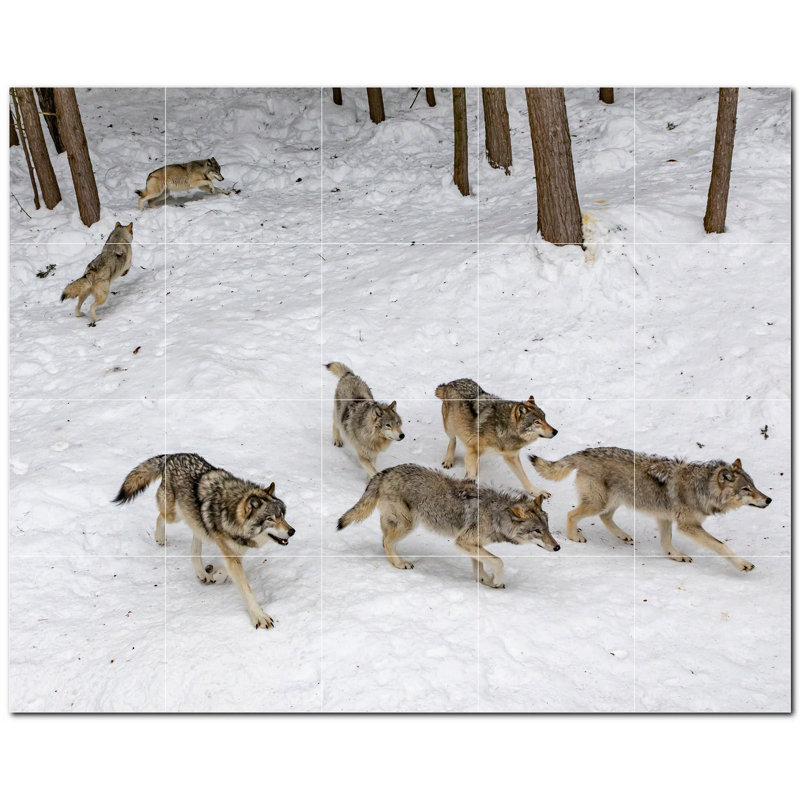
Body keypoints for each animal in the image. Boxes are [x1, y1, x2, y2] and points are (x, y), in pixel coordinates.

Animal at [113, 453, 295, 628]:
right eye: (270, 519)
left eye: (282, 516)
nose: (292, 531)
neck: (231, 514)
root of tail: (171, 456)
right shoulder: (231, 553)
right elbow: (247, 589)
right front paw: (259, 617)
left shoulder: (235, 551)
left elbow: (225, 569)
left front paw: (216, 575)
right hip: (174, 515)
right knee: (160, 517)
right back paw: (160, 538)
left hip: (196, 522)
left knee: (194, 546)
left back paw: (202, 573)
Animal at [337, 463, 559, 587]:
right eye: (537, 531)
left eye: (547, 529)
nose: (557, 547)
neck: (495, 515)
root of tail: (385, 472)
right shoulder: (463, 541)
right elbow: (498, 561)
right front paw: (496, 580)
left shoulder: (473, 545)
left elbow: (480, 566)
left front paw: (486, 581)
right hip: (408, 524)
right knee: (387, 542)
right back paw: (400, 564)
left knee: (383, 539)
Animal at [531, 447, 771, 572]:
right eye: (746, 489)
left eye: (754, 486)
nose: (769, 500)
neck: (702, 488)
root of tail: (585, 452)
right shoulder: (688, 526)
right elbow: (721, 546)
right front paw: (743, 564)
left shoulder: (665, 518)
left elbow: (666, 543)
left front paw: (675, 556)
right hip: (599, 502)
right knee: (572, 514)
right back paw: (575, 537)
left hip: (615, 501)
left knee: (605, 517)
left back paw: (623, 536)